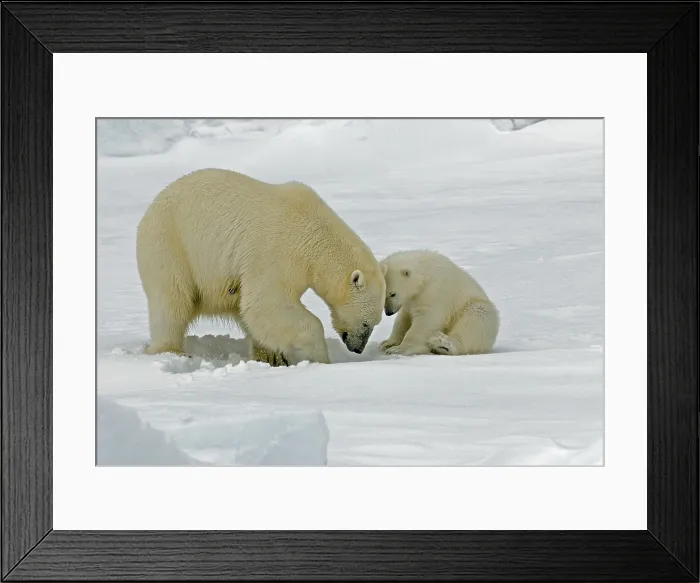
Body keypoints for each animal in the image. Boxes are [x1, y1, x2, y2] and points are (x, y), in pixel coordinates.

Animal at [135, 168, 386, 366]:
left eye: (375, 323)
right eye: (366, 322)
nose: (357, 348)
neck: (315, 234)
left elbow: (259, 311)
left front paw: (279, 355)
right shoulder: (277, 252)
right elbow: (265, 302)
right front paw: (320, 358)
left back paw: (267, 356)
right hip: (170, 246)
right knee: (172, 302)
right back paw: (171, 351)